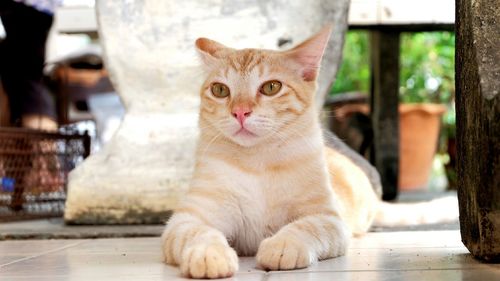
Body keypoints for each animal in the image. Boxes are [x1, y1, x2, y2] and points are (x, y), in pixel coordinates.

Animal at [161, 25, 458, 278]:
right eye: (220, 90)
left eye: (271, 87)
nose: (240, 112)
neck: (257, 161)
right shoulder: (187, 219)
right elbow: (199, 232)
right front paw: (208, 254)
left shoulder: (328, 219)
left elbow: (304, 227)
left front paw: (283, 246)